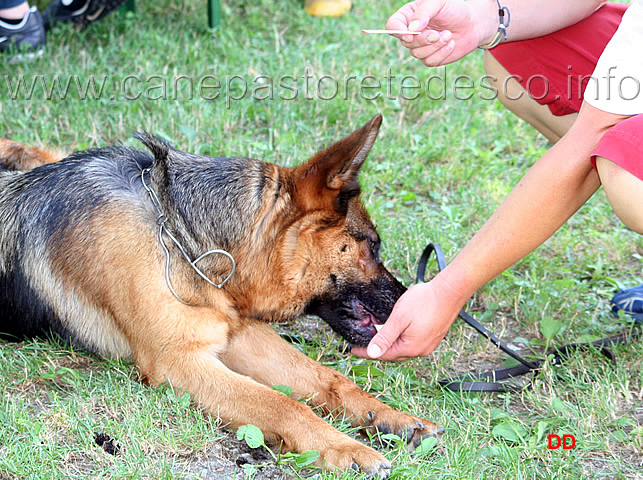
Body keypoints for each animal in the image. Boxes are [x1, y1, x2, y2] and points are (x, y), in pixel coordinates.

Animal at [0, 115, 440, 476]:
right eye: (374, 247)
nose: (408, 304)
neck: (178, 235)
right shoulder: (179, 361)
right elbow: (280, 402)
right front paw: (344, 447)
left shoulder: (237, 331)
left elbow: (329, 379)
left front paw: (389, 417)